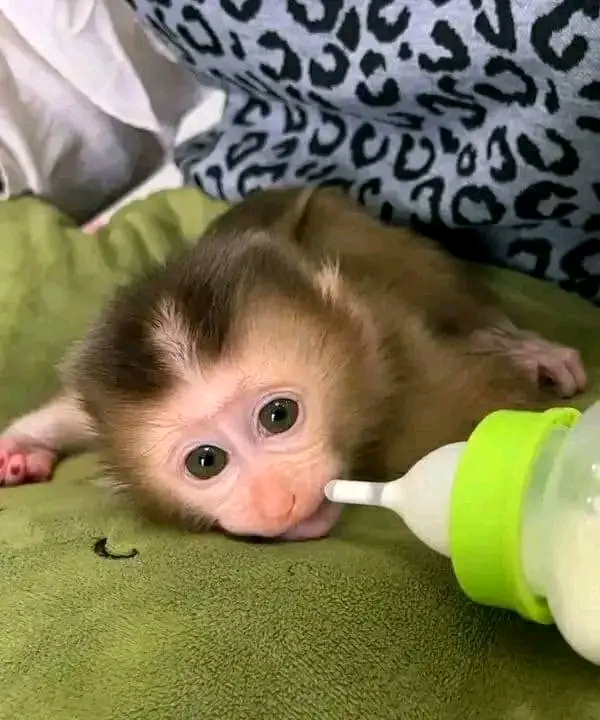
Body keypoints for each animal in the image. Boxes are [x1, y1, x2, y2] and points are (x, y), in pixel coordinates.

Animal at [0, 186, 587, 541]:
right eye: (205, 462)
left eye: (278, 416)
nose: (279, 501)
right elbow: (74, 410)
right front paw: (18, 449)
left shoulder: (421, 392)